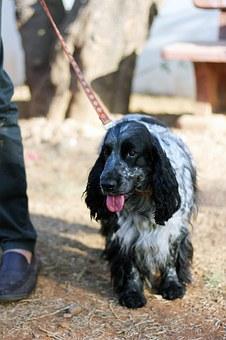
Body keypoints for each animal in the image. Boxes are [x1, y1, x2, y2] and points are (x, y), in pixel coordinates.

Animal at [84, 114, 196, 308]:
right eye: (106, 152)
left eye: (132, 153)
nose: (105, 184)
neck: (143, 198)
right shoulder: (127, 231)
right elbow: (131, 265)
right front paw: (132, 293)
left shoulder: (175, 228)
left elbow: (171, 257)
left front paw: (172, 285)